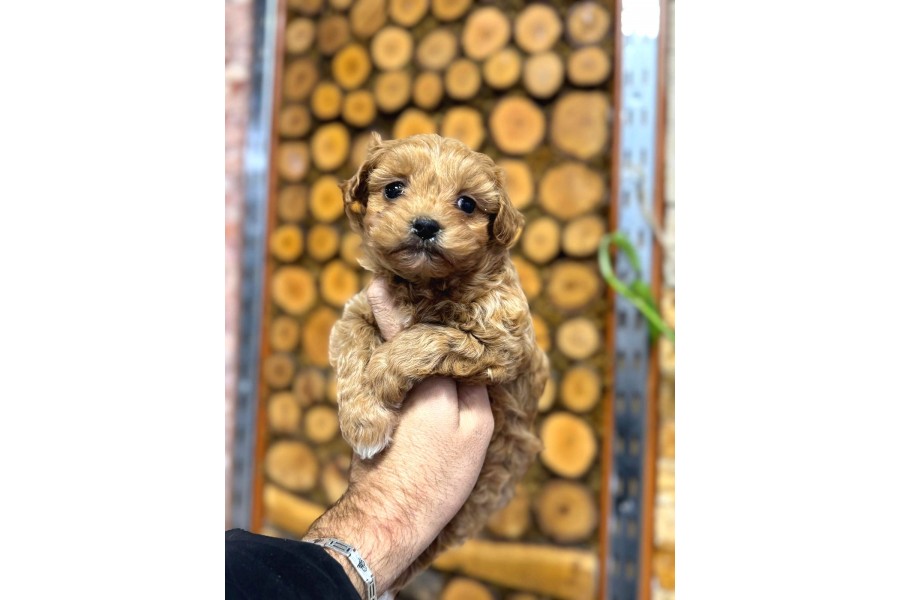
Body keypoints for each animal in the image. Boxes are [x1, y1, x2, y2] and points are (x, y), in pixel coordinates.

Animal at [328, 132, 549, 590]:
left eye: (467, 203)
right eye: (394, 188)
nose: (426, 225)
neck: (427, 285)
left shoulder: (503, 343)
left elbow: (426, 338)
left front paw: (380, 377)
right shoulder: (357, 313)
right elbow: (355, 348)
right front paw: (363, 422)